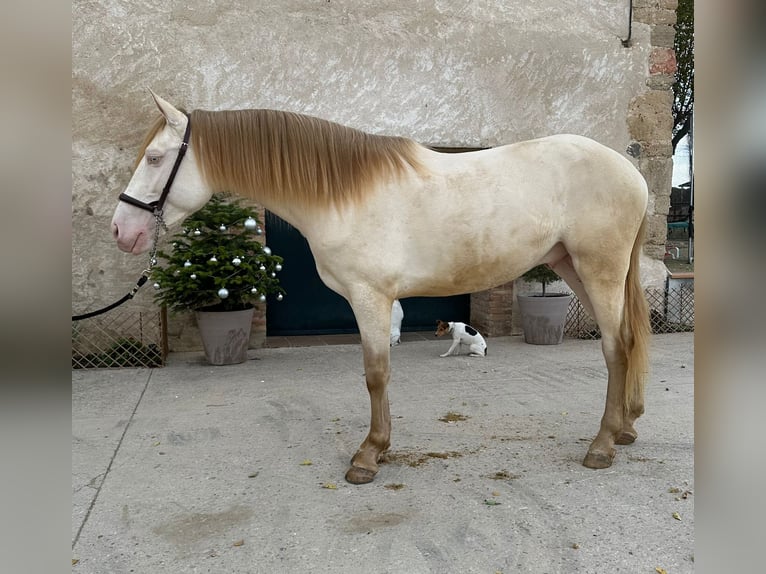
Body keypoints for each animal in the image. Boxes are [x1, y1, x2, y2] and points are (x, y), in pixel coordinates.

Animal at [111, 93, 652, 486]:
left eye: (155, 157)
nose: (122, 230)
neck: (343, 195)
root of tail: (631, 172)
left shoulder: (370, 297)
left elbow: (375, 374)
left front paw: (368, 456)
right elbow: (378, 373)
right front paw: (379, 447)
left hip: (599, 270)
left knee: (615, 347)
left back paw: (601, 446)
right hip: (574, 268)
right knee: (624, 343)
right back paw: (626, 429)